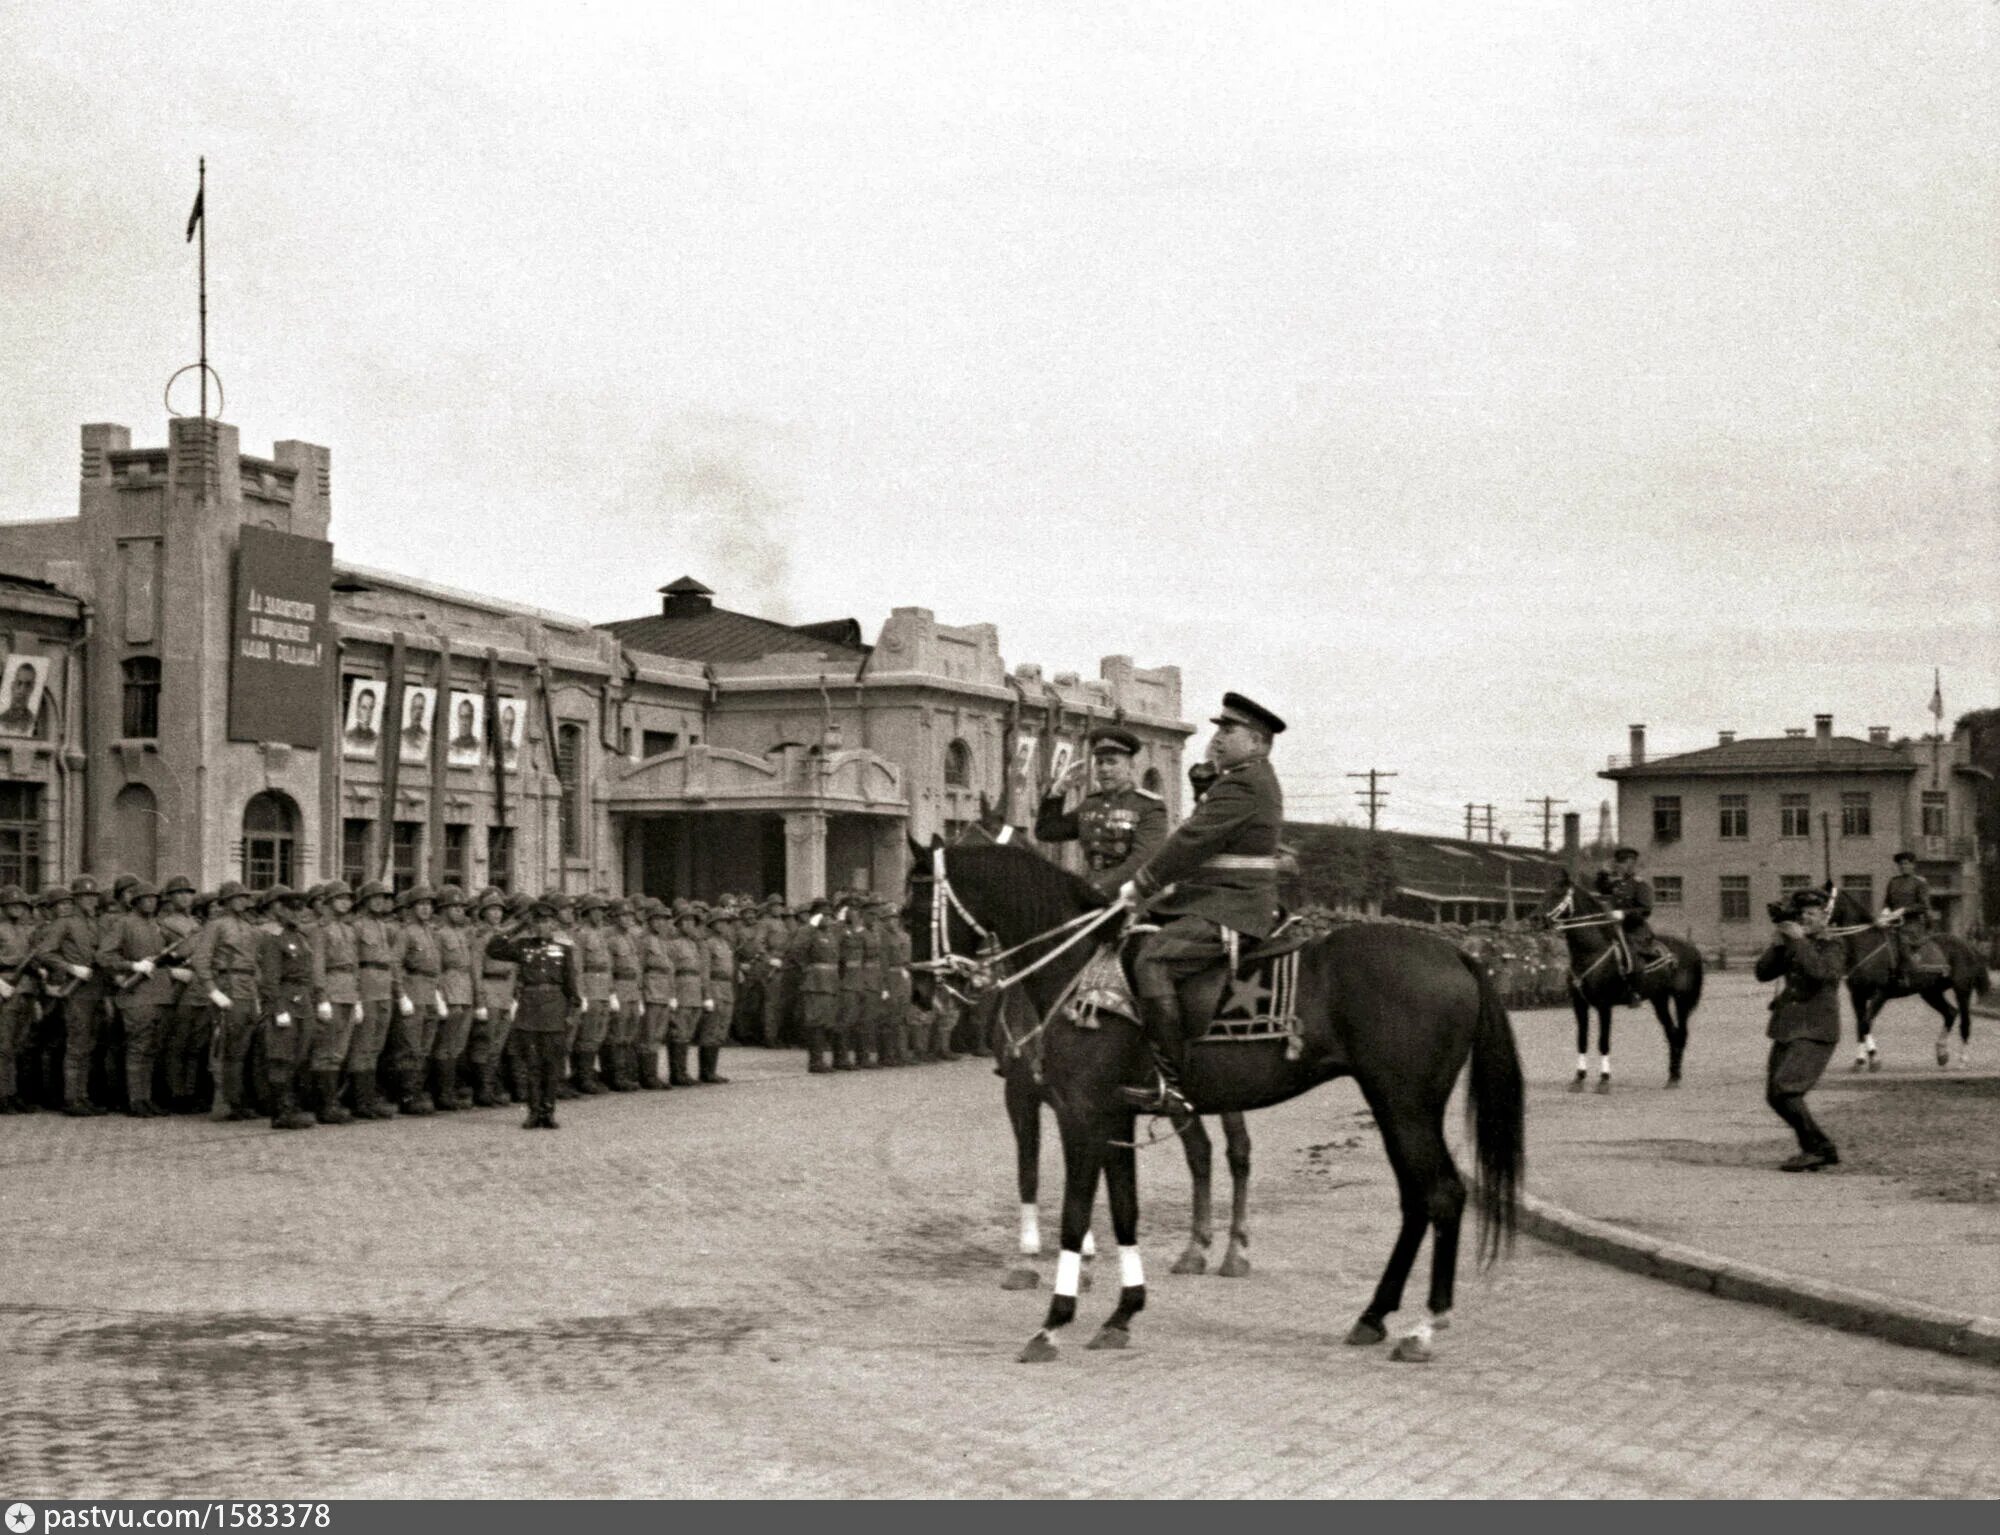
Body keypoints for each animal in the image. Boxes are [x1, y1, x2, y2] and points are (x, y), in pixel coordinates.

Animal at [912, 839, 1528, 1367]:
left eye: (916, 903)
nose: (919, 990)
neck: (1080, 965)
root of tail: (1455, 953)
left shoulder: (1081, 1114)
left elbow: (1075, 1215)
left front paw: (1052, 1324)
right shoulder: (1114, 1117)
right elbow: (1125, 1211)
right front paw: (1122, 1314)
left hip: (1406, 1104)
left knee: (1442, 1194)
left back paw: (1424, 1327)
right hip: (1391, 1104)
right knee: (1415, 1199)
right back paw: (1373, 1315)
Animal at [1544, 851, 1704, 1087]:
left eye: (1557, 894)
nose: (1534, 920)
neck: (1591, 952)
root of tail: (1691, 948)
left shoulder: (1604, 1005)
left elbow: (1603, 1041)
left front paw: (1603, 1080)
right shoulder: (1579, 1004)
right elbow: (1582, 1040)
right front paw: (1579, 1078)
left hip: (1682, 999)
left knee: (1681, 1033)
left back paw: (1675, 1077)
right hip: (1659, 999)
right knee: (1671, 1032)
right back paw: (1671, 1075)